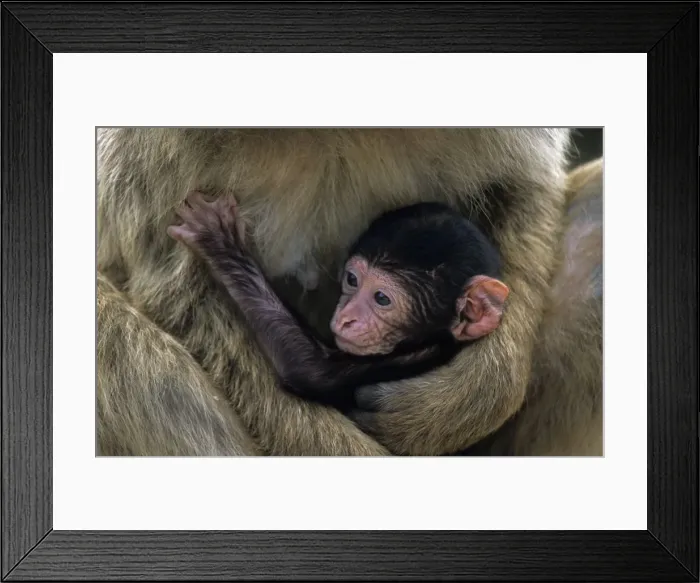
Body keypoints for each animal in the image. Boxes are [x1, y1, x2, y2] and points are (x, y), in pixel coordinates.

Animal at [165, 193, 509, 411]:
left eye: (381, 298)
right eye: (352, 280)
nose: (346, 317)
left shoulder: (413, 357)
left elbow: (308, 369)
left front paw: (218, 241)